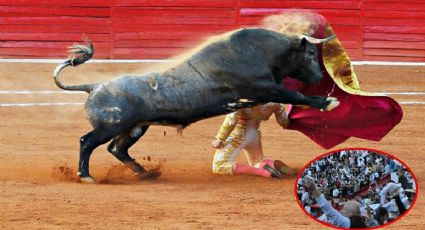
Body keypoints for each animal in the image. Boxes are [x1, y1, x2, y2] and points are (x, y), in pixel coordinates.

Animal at [53, 27, 338, 182]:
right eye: (310, 54)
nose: (319, 77)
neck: (261, 51)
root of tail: (93, 86)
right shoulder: (265, 86)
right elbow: (295, 95)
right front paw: (328, 102)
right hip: (110, 126)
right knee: (87, 142)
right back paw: (86, 175)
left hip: (136, 127)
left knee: (117, 148)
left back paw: (144, 172)